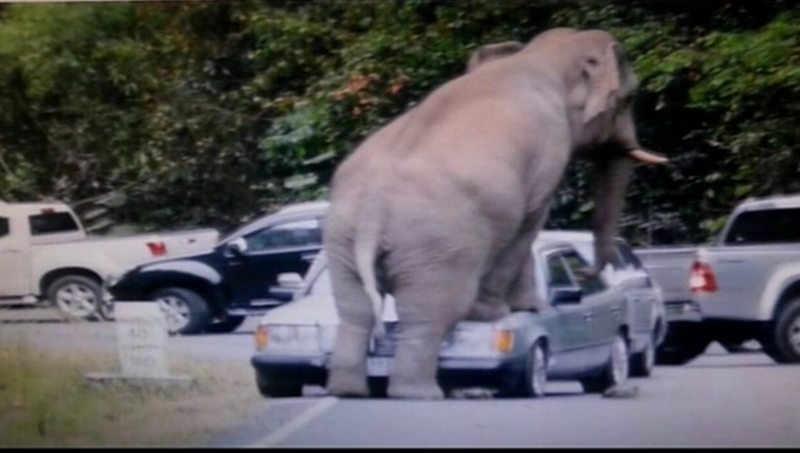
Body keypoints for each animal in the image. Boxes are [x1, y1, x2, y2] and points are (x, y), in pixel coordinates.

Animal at [321, 27, 668, 400]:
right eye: (629, 98)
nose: (584, 271)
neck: (536, 57)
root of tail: (374, 208)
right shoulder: (548, 153)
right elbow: (529, 224)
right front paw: (507, 310)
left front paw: (527, 307)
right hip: (437, 248)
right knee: (428, 314)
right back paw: (422, 393)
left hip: (342, 236)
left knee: (354, 312)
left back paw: (348, 391)